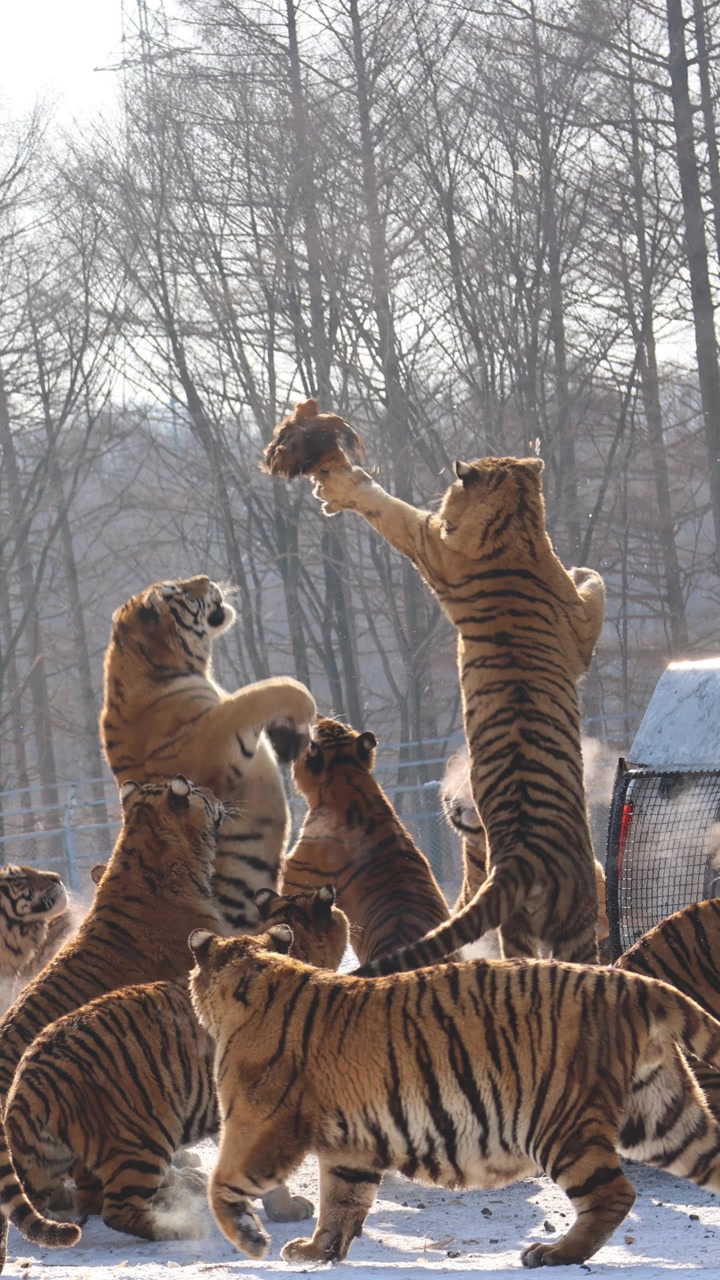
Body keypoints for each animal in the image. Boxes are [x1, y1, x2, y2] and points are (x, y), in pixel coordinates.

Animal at [0, 885, 349, 1248]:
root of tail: (29, 1077)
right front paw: (288, 1208)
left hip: (48, 1159)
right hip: (143, 1136)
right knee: (118, 1210)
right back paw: (180, 1226)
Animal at [100, 574, 316, 931]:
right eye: (182, 593)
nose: (206, 578)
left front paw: (290, 737)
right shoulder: (196, 750)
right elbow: (255, 696)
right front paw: (302, 709)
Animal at [189, 928, 720, 1269]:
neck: (258, 969)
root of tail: (632, 983)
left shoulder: (256, 1120)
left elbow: (223, 1182)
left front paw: (251, 1239)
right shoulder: (349, 1146)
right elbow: (342, 1198)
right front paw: (320, 1252)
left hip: (562, 1123)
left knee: (613, 1194)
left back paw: (554, 1255)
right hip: (661, 1118)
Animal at [312, 453, 605, 967]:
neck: (515, 518)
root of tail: (521, 856)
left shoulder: (434, 545)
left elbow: (389, 510)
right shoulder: (433, 544)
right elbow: (596, 583)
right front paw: (582, 568)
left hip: (528, 923)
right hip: (573, 919)